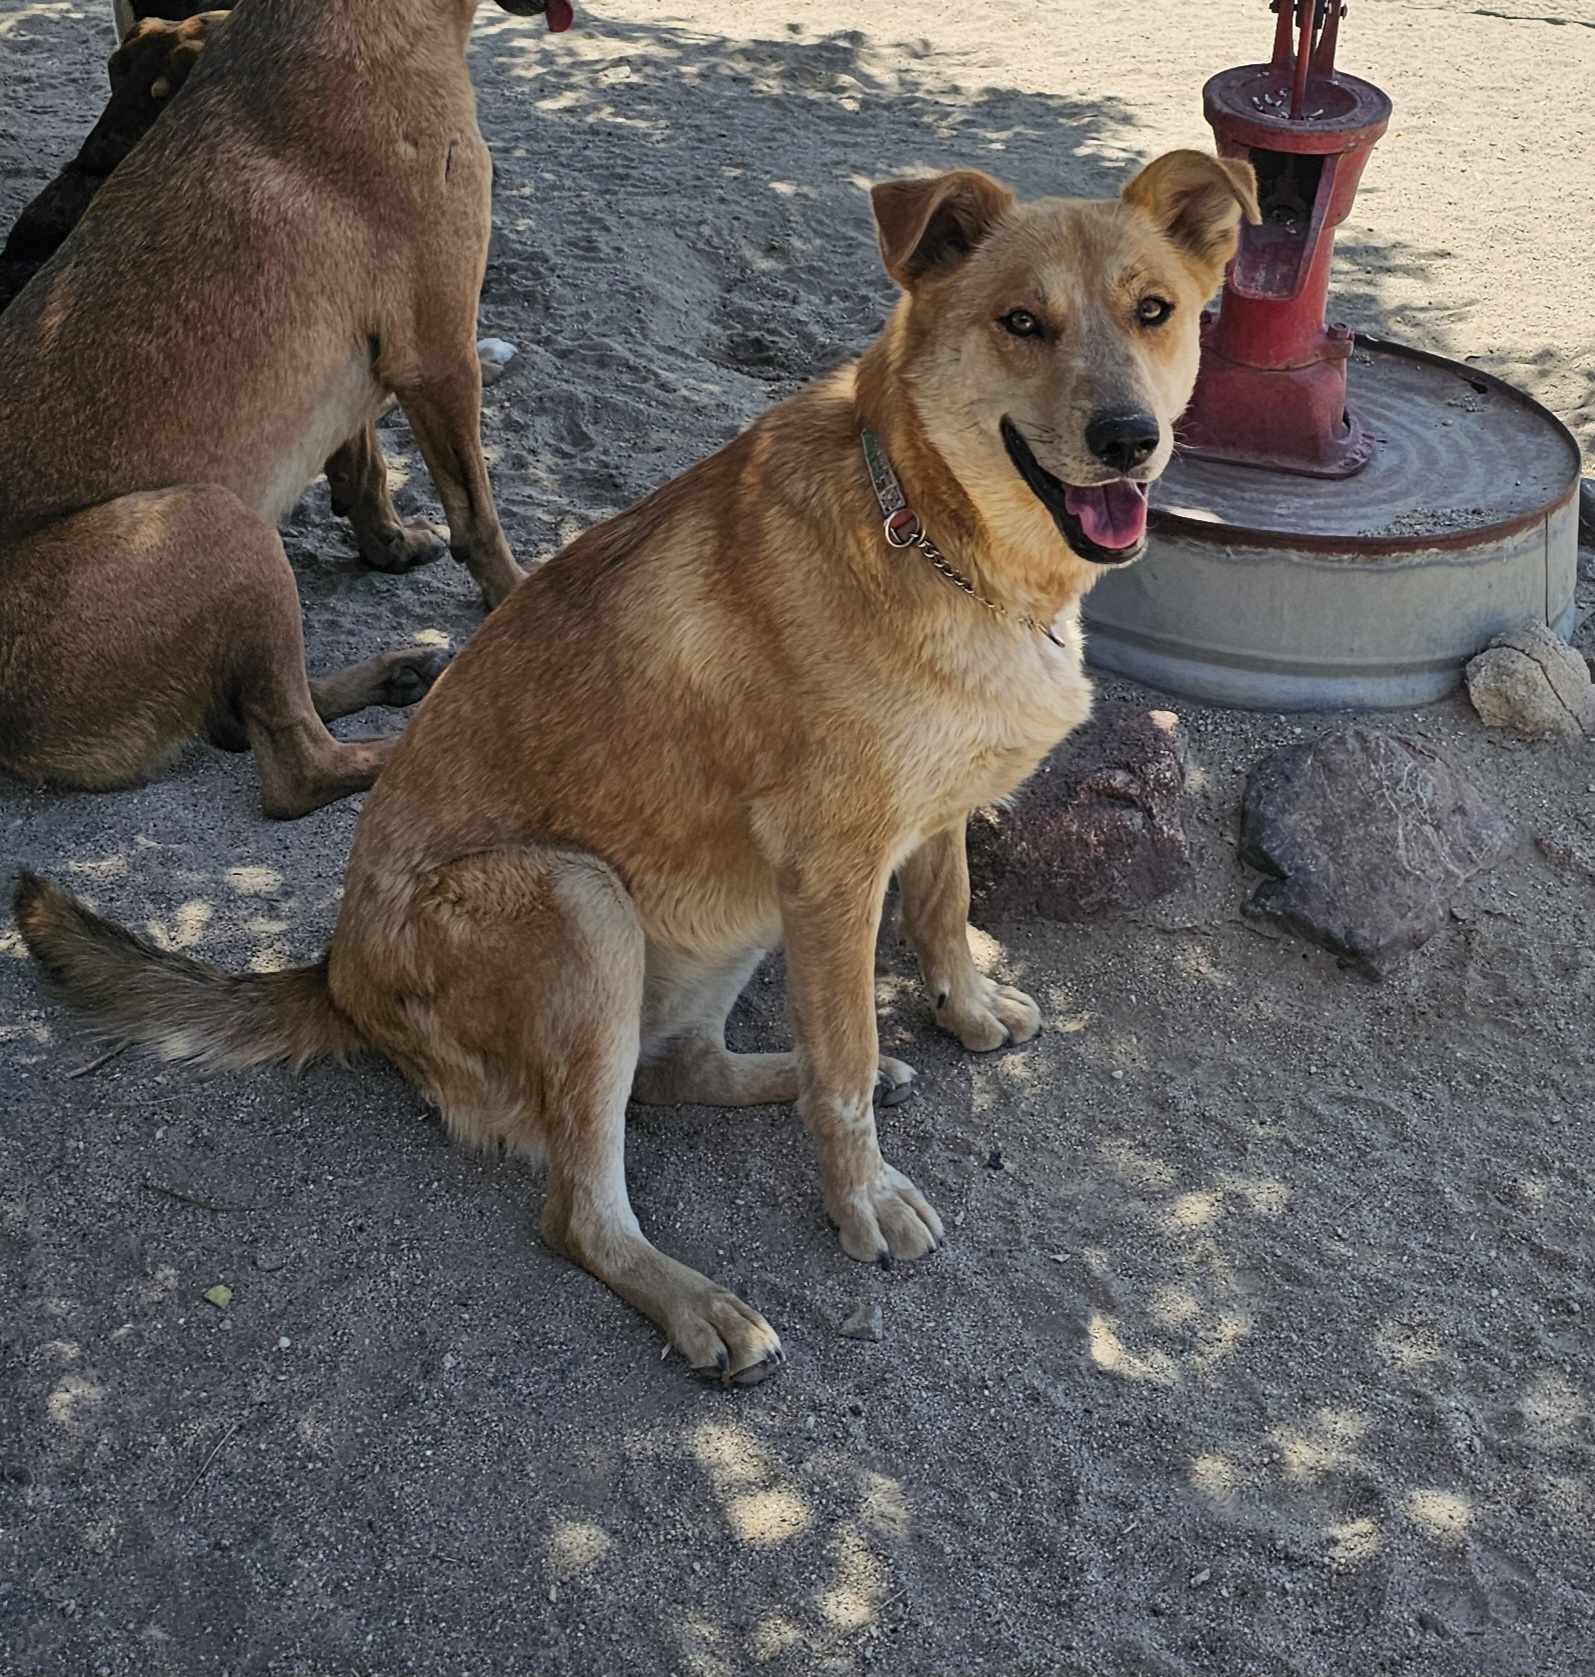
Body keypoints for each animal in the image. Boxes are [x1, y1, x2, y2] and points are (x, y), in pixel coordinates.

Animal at [0, 0, 573, 818]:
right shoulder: (437, 354)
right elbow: (480, 515)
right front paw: (517, 594)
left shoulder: (373, 369)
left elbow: (367, 468)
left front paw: (388, 542)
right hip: (217, 522)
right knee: (293, 767)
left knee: (246, 717)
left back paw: (395, 675)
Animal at [12, 150, 1261, 1381]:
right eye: (1020, 323)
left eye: (1153, 312)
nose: (1126, 438)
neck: (927, 528)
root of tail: (334, 976)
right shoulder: (834, 873)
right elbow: (846, 1063)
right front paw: (860, 1198)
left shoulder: (916, 824)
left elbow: (940, 918)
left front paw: (957, 1013)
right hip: (584, 902)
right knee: (580, 1207)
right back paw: (698, 1302)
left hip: (730, 918)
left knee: (669, 1075)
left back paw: (767, 1083)